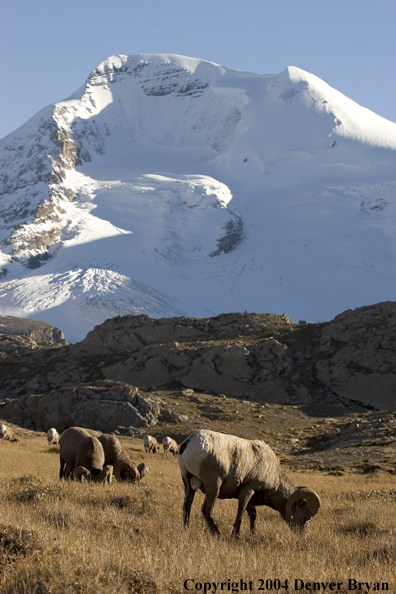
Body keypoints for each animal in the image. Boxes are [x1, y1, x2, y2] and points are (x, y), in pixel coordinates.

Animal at [178, 426, 320, 536]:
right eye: (305, 516)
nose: (302, 534)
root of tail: (188, 442)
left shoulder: (250, 497)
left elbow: (253, 515)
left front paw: (253, 534)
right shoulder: (248, 490)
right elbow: (241, 512)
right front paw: (236, 536)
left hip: (188, 484)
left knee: (187, 506)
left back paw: (186, 530)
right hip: (213, 486)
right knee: (206, 510)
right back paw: (217, 534)